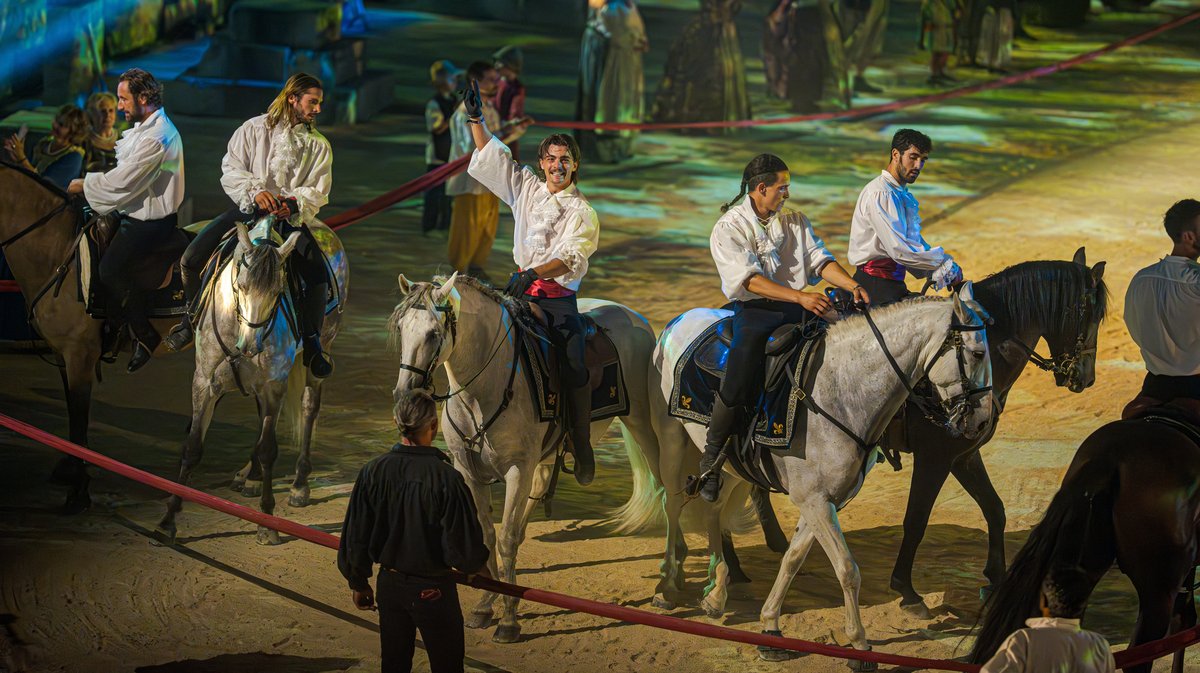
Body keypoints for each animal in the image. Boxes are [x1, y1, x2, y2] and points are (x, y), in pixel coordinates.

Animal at [152, 218, 345, 542]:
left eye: (279, 290)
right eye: (240, 285)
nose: (250, 345)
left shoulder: (274, 386)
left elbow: (268, 450)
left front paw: (267, 523)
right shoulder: (204, 382)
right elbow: (192, 448)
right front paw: (167, 520)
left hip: (322, 351)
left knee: (309, 408)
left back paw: (299, 484)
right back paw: (251, 478)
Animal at [391, 271, 657, 638]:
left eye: (433, 333)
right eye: (402, 328)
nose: (404, 394)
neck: (483, 390)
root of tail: (633, 315)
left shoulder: (517, 469)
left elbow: (504, 539)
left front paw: (508, 620)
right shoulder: (469, 471)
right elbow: (489, 535)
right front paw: (485, 606)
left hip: (642, 423)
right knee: (540, 487)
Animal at [619, 285, 993, 662]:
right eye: (977, 354)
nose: (982, 423)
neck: (842, 391)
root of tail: (681, 318)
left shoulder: (825, 501)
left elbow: (792, 559)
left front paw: (770, 626)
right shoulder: (814, 500)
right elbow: (847, 569)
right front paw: (859, 644)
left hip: (731, 466)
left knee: (714, 510)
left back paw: (716, 590)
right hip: (671, 441)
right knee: (672, 504)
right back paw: (667, 587)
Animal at [748, 248, 1104, 614]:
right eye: (1091, 315)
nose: (1085, 377)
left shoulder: (964, 455)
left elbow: (995, 510)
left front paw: (994, 578)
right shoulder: (936, 457)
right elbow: (917, 520)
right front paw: (906, 590)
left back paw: (771, 546)